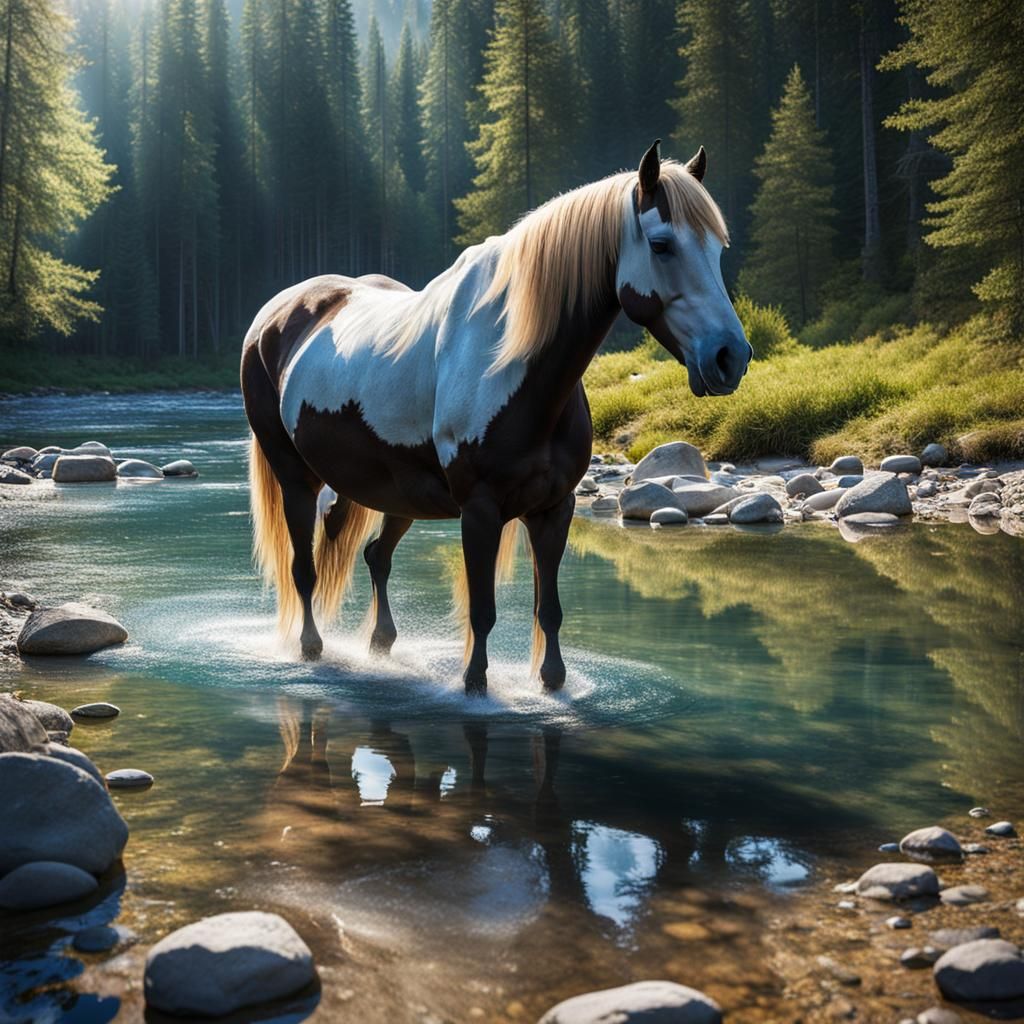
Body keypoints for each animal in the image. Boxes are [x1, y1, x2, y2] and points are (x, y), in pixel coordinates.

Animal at [241, 140, 752, 694]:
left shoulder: (554, 508)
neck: (514, 365)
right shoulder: (480, 510)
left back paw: (380, 644)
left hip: (397, 494)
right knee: (304, 568)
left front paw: (552, 682)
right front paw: (475, 686)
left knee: (376, 556)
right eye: (661, 246)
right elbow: (482, 612)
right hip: (296, 478)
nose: (730, 356)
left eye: (717, 249)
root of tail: (274, 315)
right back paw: (310, 647)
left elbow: (549, 611)